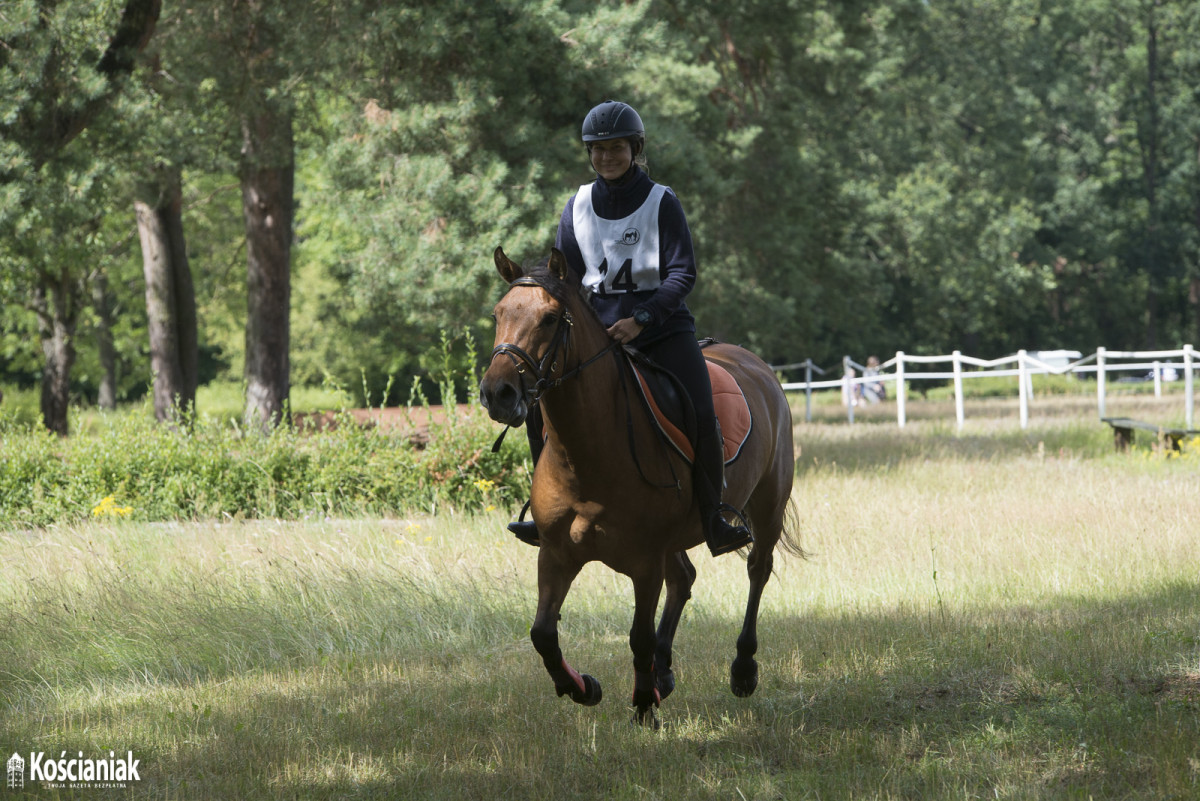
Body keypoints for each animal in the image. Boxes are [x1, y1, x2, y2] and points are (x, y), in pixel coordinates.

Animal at [472, 245, 801, 724]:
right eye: (498, 314)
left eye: (550, 319)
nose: (498, 393)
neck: (587, 457)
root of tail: (758, 367)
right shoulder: (555, 554)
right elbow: (543, 634)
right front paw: (583, 688)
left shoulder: (645, 561)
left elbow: (637, 636)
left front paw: (644, 705)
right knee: (684, 578)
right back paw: (663, 672)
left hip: (767, 505)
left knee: (757, 570)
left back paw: (741, 670)